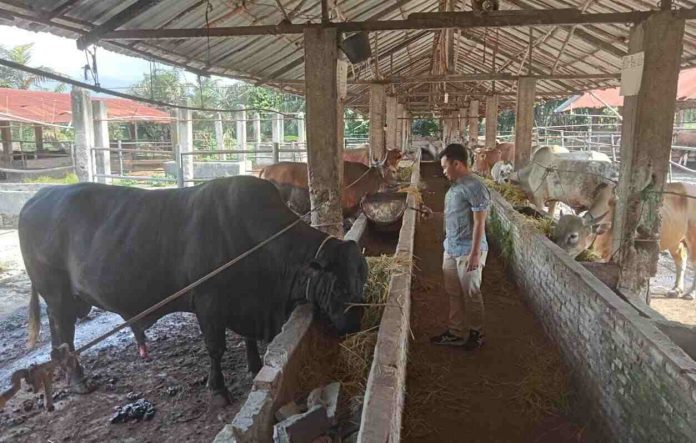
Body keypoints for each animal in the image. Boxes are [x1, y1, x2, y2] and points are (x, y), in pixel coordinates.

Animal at [16, 176, 368, 406]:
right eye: (339, 285)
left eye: (363, 279)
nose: (356, 324)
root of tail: (38, 196)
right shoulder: (209, 305)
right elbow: (216, 349)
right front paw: (219, 390)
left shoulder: (248, 304)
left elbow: (248, 340)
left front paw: (254, 365)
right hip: (56, 295)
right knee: (63, 335)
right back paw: (78, 380)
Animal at [556, 182, 696, 300]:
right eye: (557, 230)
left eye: (573, 236)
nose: (559, 250)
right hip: (676, 241)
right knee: (681, 259)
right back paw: (676, 290)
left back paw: (690, 293)